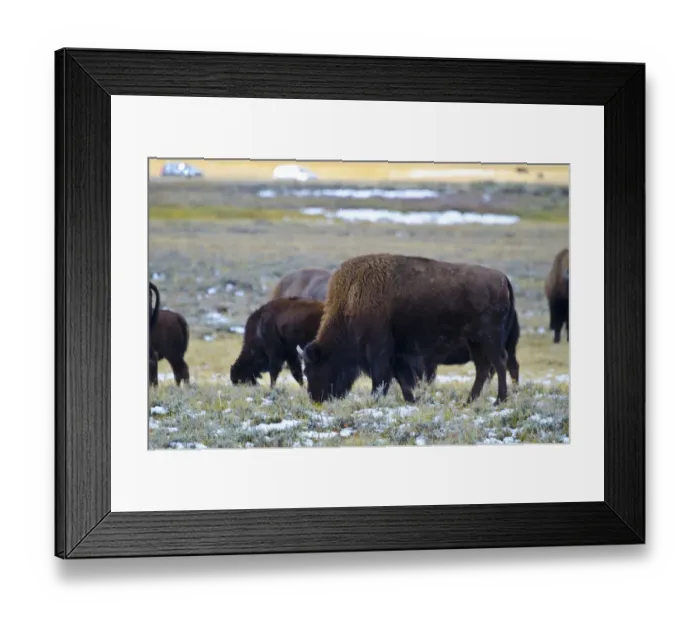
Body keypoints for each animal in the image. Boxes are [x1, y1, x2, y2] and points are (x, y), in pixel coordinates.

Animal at [297, 254, 518, 404]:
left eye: (311, 369)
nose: (316, 399)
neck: (352, 299)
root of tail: (503, 279)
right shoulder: (397, 355)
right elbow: (403, 380)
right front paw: (413, 400)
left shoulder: (379, 350)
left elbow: (381, 379)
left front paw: (375, 400)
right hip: (475, 342)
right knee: (483, 368)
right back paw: (469, 401)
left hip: (489, 339)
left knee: (500, 363)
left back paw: (499, 400)